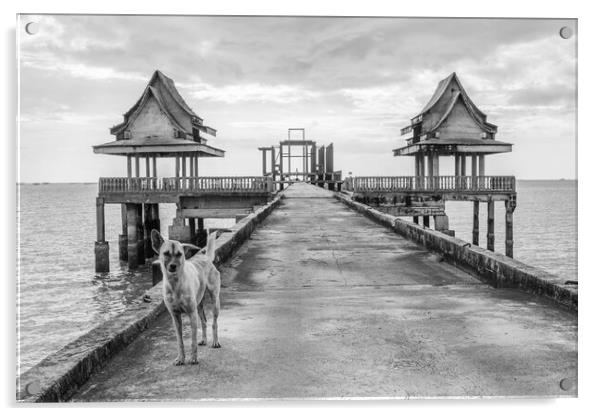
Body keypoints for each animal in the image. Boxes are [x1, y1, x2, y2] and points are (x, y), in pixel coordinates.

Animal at [151, 229, 221, 366]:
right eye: (166, 253)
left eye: (179, 254)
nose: (173, 266)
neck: (175, 284)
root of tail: (205, 258)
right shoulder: (175, 317)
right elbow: (180, 341)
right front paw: (180, 358)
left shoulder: (192, 314)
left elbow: (193, 341)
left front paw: (193, 358)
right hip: (199, 305)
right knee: (204, 321)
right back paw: (204, 340)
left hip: (215, 301)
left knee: (214, 323)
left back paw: (215, 342)